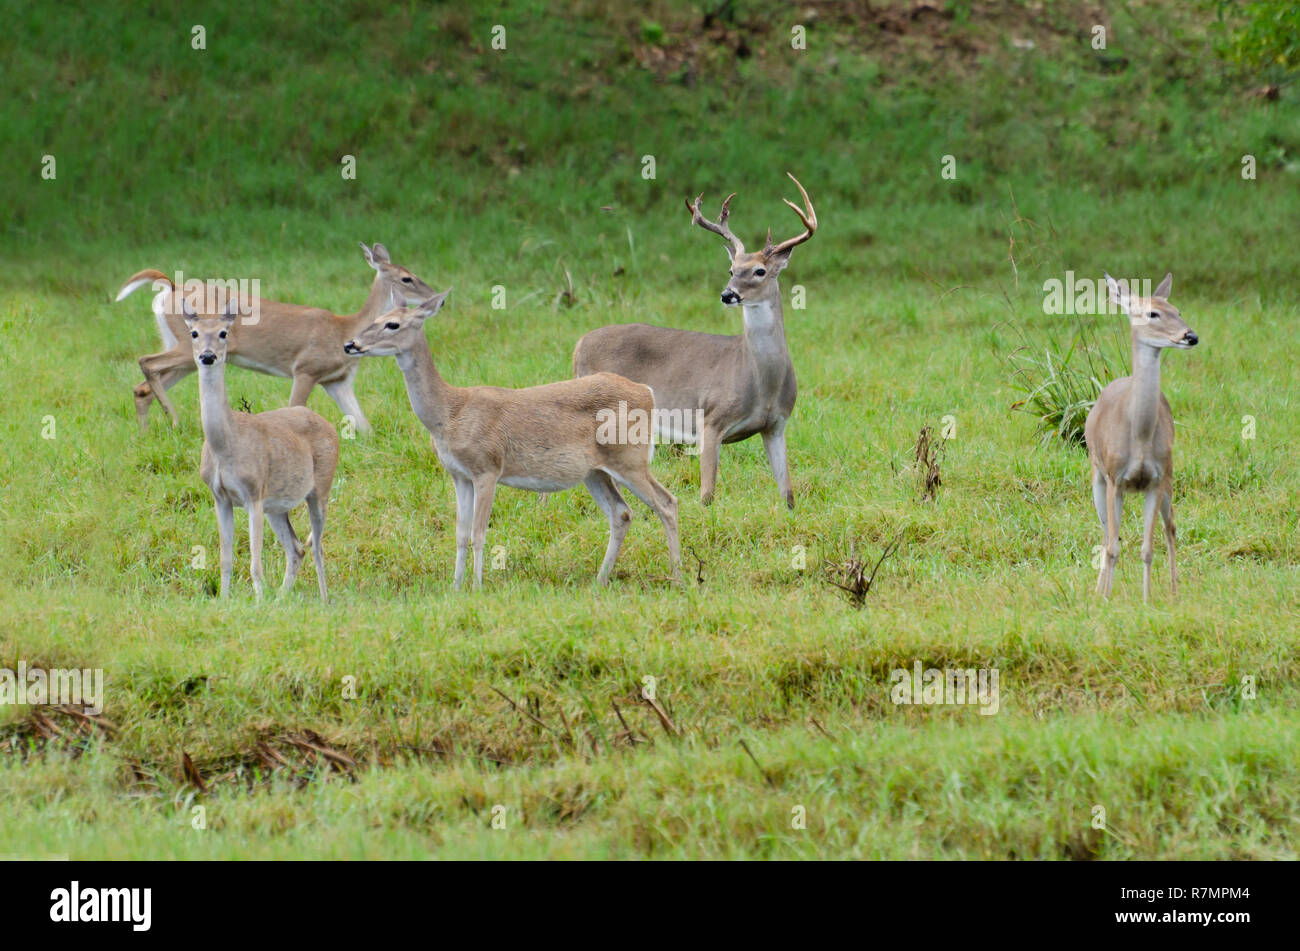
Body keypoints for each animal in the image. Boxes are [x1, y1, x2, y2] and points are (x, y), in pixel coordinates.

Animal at [115, 243, 435, 431]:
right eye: (406, 278)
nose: (435, 298)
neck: (344, 327)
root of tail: (170, 286)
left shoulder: (338, 380)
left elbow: (365, 427)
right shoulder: (305, 369)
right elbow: (295, 409)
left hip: (187, 353)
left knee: (142, 388)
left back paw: (149, 432)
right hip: (188, 344)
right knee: (146, 361)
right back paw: (174, 419)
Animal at [185, 297, 339, 601]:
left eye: (224, 332)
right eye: (194, 333)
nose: (208, 356)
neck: (226, 444)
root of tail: (330, 426)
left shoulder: (253, 493)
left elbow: (255, 562)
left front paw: (258, 602)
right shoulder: (220, 497)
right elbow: (225, 558)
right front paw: (225, 601)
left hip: (320, 487)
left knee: (317, 546)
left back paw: (325, 600)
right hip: (276, 506)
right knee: (296, 548)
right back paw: (281, 599)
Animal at [343, 292, 681, 590]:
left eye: (393, 324)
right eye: (376, 317)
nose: (350, 344)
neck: (450, 413)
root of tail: (647, 392)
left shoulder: (487, 467)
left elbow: (479, 532)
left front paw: (477, 587)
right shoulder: (459, 475)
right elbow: (460, 533)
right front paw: (455, 586)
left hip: (630, 458)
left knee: (667, 503)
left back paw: (676, 577)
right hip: (595, 471)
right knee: (621, 513)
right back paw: (600, 580)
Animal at [572, 172, 817, 509]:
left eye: (759, 271)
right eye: (731, 269)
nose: (728, 294)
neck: (760, 381)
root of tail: (579, 343)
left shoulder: (777, 425)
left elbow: (788, 493)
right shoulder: (710, 419)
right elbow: (707, 494)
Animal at [1084, 272, 1198, 602]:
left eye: (1178, 310)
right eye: (1152, 313)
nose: (1190, 336)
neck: (1139, 436)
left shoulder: (1156, 479)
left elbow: (1147, 548)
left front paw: (1147, 601)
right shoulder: (1114, 478)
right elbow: (1113, 546)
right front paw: (1106, 599)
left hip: (1170, 475)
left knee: (1170, 527)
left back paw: (1174, 590)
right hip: (1096, 476)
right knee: (1105, 534)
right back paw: (1097, 590)